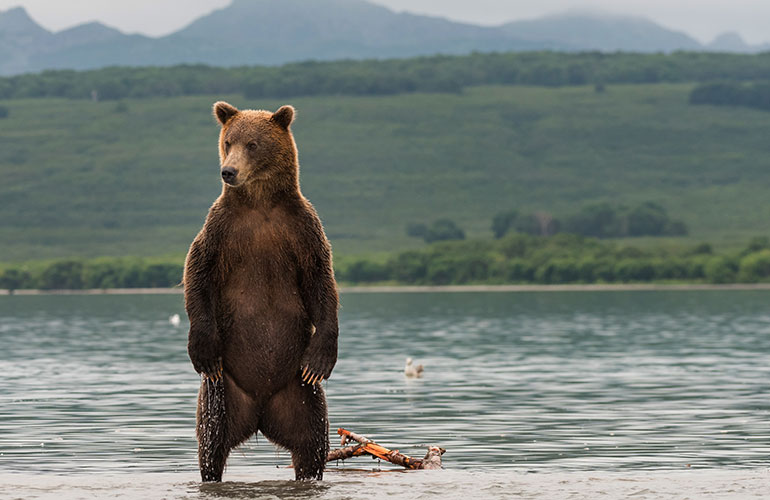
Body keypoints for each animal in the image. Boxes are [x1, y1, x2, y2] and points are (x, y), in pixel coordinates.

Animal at [183, 101, 339, 482]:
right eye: (228, 142)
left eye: (252, 144)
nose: (228, 171)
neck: (261, 204)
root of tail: (261, 410)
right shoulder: (221, 230)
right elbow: (197, 271)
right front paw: (202, 349)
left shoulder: (301, 229)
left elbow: (321, 283)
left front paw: (321, 359)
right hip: (224, 393)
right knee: (211, 441)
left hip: (299, 393)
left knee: (312, 442)